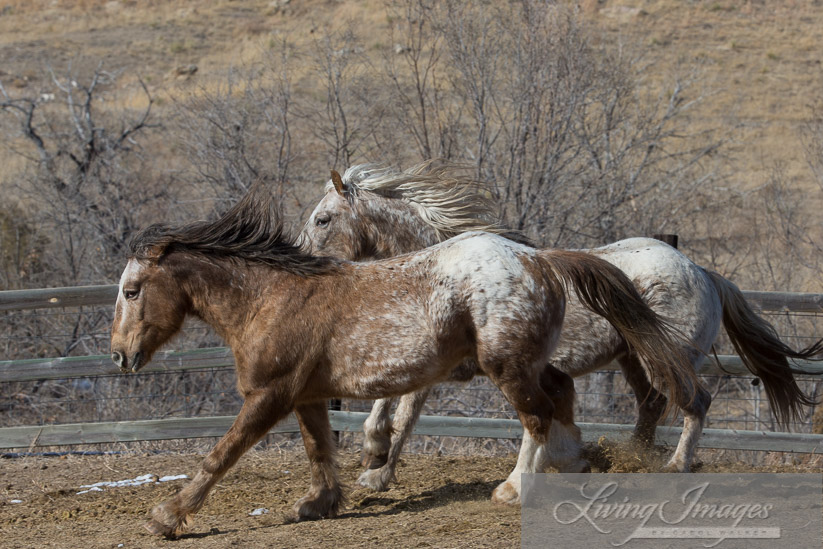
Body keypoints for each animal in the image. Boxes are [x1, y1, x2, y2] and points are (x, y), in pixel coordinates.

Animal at [111, 188, 696, 536]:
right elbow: (319, 448)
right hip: (527, 361)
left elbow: (222, 454)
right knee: (560, 395)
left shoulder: (269, 394)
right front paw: (319, 503)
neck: (270, 299)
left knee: (537, 416)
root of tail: (541, 260)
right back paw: (573, 463)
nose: (121, 355)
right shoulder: (307, 395)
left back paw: (513, 489)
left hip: (506, 366)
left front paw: (167, 515)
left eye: (132, 290)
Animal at [304, 161, 823, 494]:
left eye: (323, 218)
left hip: (668, 359)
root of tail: (704, 272)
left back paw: (674, 466)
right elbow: (386, 408)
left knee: (694, 402)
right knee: (652, 407)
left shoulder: (436, 368)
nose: (305, 263)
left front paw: (377, 469)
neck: (444, 269)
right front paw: (375, 463)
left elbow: (401, 416)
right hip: (634, 362)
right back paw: (625, 457)